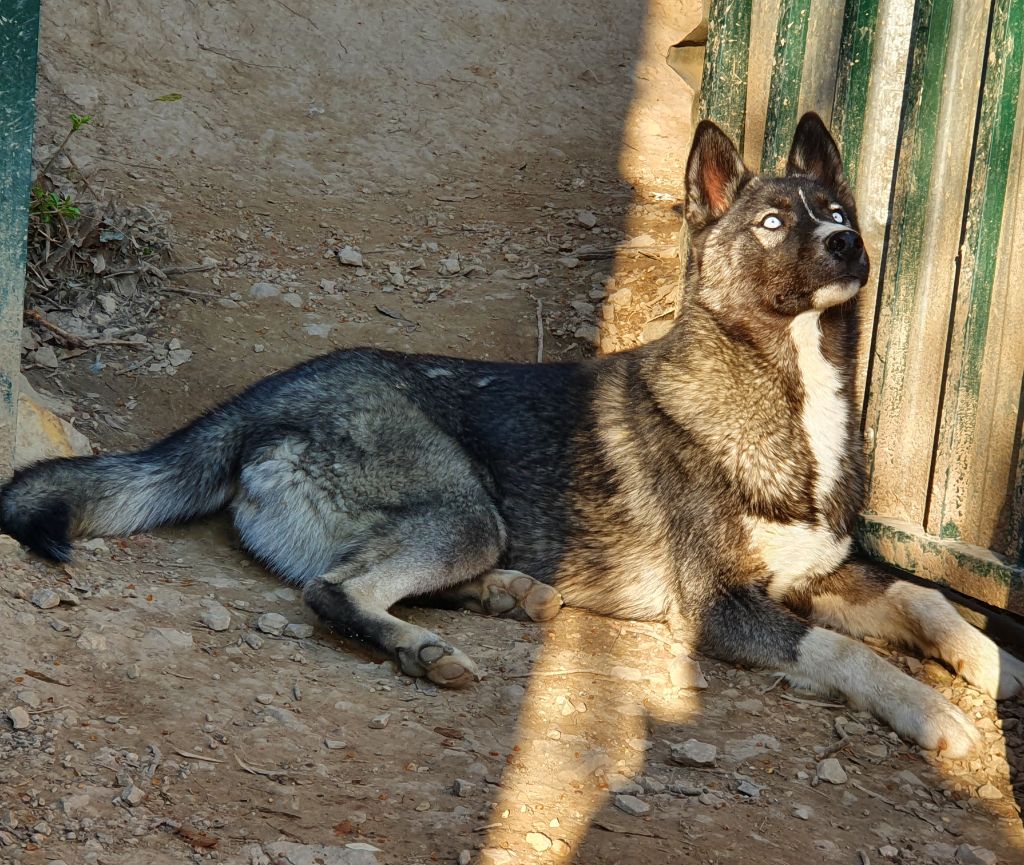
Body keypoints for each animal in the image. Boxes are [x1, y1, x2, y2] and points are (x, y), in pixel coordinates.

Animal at [4, 113, 1019, 757]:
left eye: (838, 214)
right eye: (774, 222)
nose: (847, 246)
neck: (785, 394)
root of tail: (258, 397)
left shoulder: (820, 575)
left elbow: (926, 600)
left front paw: (993, 660)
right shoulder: (723, 609)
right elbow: (847, 652)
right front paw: (934, 714)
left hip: (473, 526)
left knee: (373, 577)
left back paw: (508, 596)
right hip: (464, 510)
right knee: (334, 589)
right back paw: (422, 647)